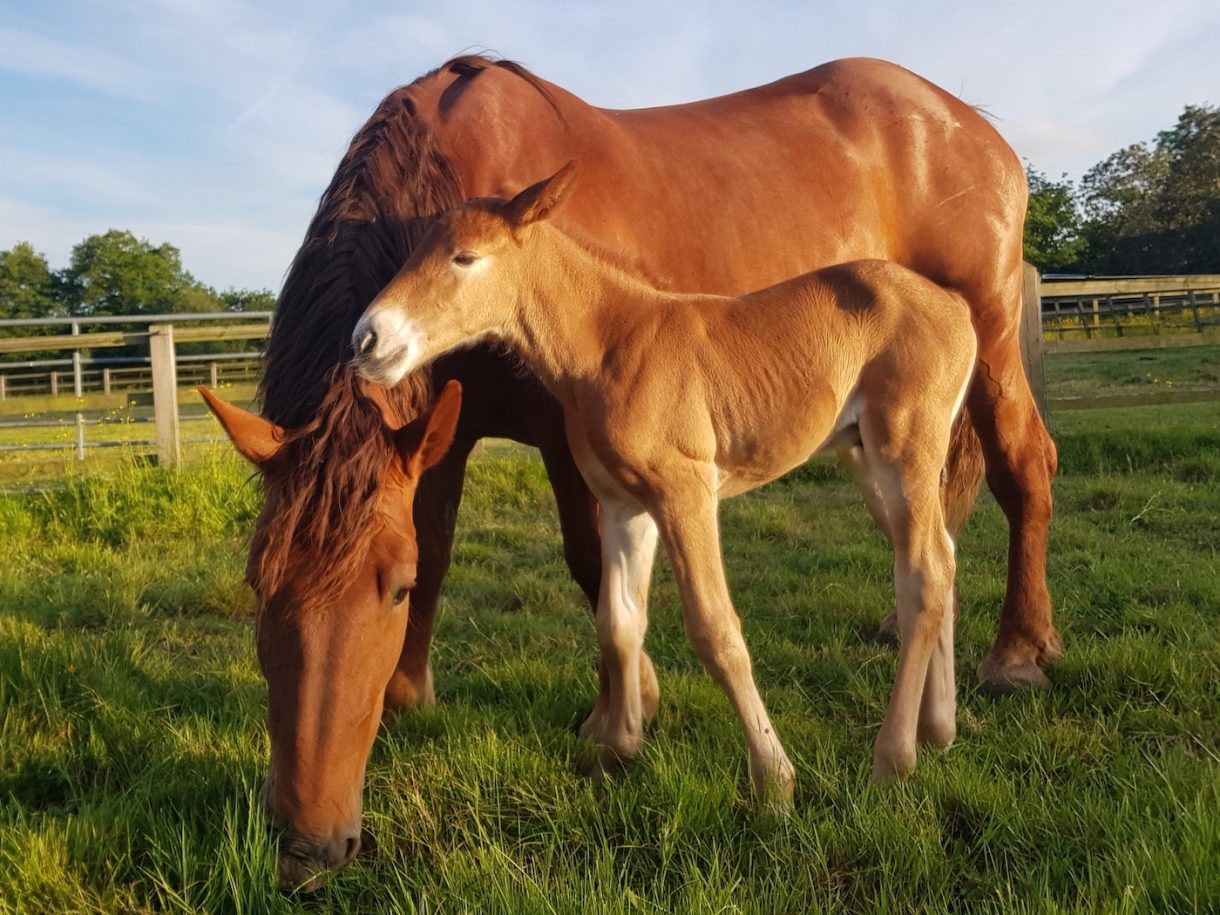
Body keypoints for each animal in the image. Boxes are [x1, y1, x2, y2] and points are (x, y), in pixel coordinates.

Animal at [352, 162, 978, 803]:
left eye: (465, 258)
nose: (368, 340)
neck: (609, 346)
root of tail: (956, 305)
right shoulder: (625, 504)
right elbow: (618, 622)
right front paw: (617, 750)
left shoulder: (685, 492)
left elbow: (715, 629)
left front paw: (773, 780)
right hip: (868, 461)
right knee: (942, 559)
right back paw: (939, 729)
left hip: (904, 452)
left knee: (923, 573)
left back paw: (893, 757)